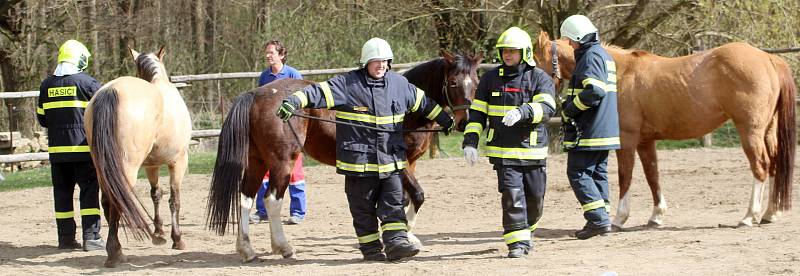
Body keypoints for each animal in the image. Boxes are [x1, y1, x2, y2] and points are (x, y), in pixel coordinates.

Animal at [84, 48, 192, 268]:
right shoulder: (178, 162)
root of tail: (111, 91)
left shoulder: (151, 166)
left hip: (101, 167)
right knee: (117, 200)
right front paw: (177, 238)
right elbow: (174, 200)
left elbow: (156, 194)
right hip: (127, 168)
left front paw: (159, 231)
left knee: (107, 201)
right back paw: (115, 253)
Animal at [206, 50, 482, 262]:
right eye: (454, 82)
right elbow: (417, 195)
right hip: (282, 162)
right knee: (272, 200)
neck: (406, 111)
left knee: (245, 199)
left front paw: (406, 235)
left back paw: (247, 249)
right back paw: (284, 247)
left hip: (257, 161)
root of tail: (256, 94)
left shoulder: (410, 164)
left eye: (476, 82)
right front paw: (406, 238)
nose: (464, 121)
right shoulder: (398, 162)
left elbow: (405, 198)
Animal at [532, 30, 792, 229]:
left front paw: (619, 218)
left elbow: (625, 177)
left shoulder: (627, 140)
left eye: (534, 60)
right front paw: (656, 216)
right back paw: (770, 213)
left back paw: (749, 216)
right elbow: (652, 176)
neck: (619, 71)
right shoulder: (646, 142)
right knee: (774, 164)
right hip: (767, 131)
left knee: (760, 167)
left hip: (750, 131)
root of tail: (768, 58)